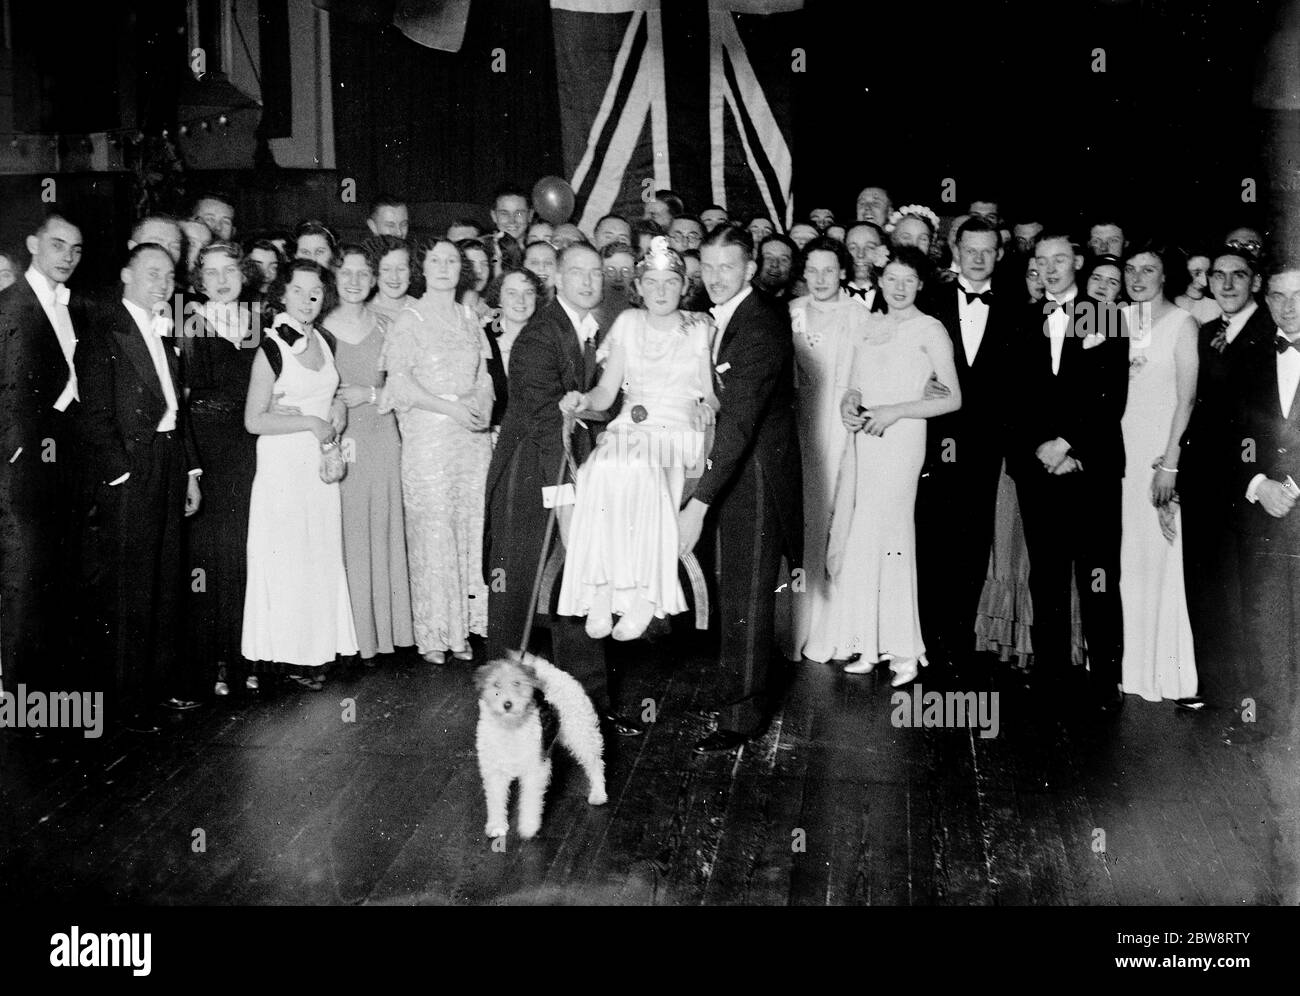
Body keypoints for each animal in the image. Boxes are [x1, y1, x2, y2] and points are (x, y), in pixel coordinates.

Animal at [475, 650, 605, 837]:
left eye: (517, 683)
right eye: (496, 684)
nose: (507, 704)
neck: (510, 729)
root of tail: (551, 672)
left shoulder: (535, 769)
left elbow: (530, 800)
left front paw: (528, 826)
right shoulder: (495, 771)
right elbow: (496, 801)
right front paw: (496, 826)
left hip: (581, 734)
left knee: (595, 764)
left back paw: (599, 794)